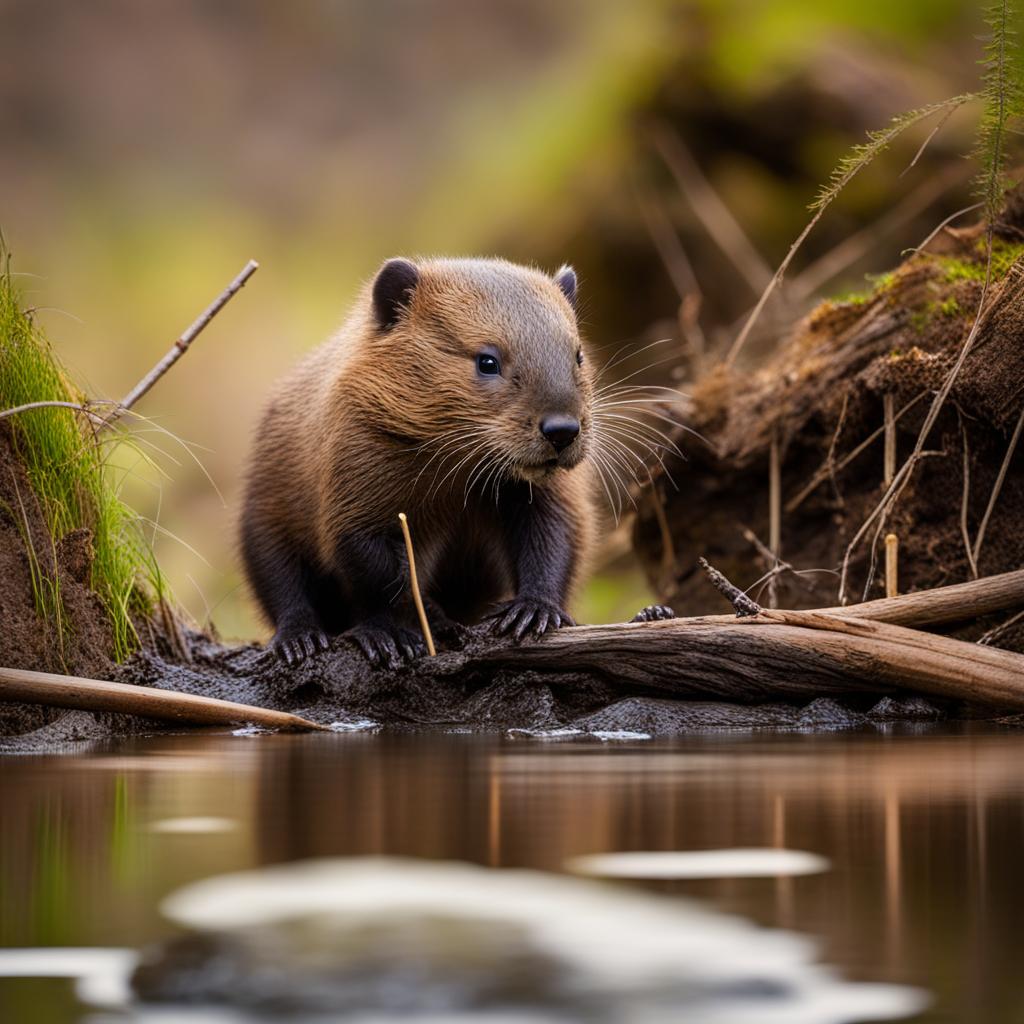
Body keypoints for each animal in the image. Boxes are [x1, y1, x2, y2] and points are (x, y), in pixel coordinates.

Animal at [241, 260, 606, 667]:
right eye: (487, 361)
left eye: (578, 355)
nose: (562, 431)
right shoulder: (352, 502)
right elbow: (378, 575)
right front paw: (394, 634)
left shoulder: (543, 495)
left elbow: (554, 540)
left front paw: (533, 612)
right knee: (285, 592)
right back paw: (300, 640)